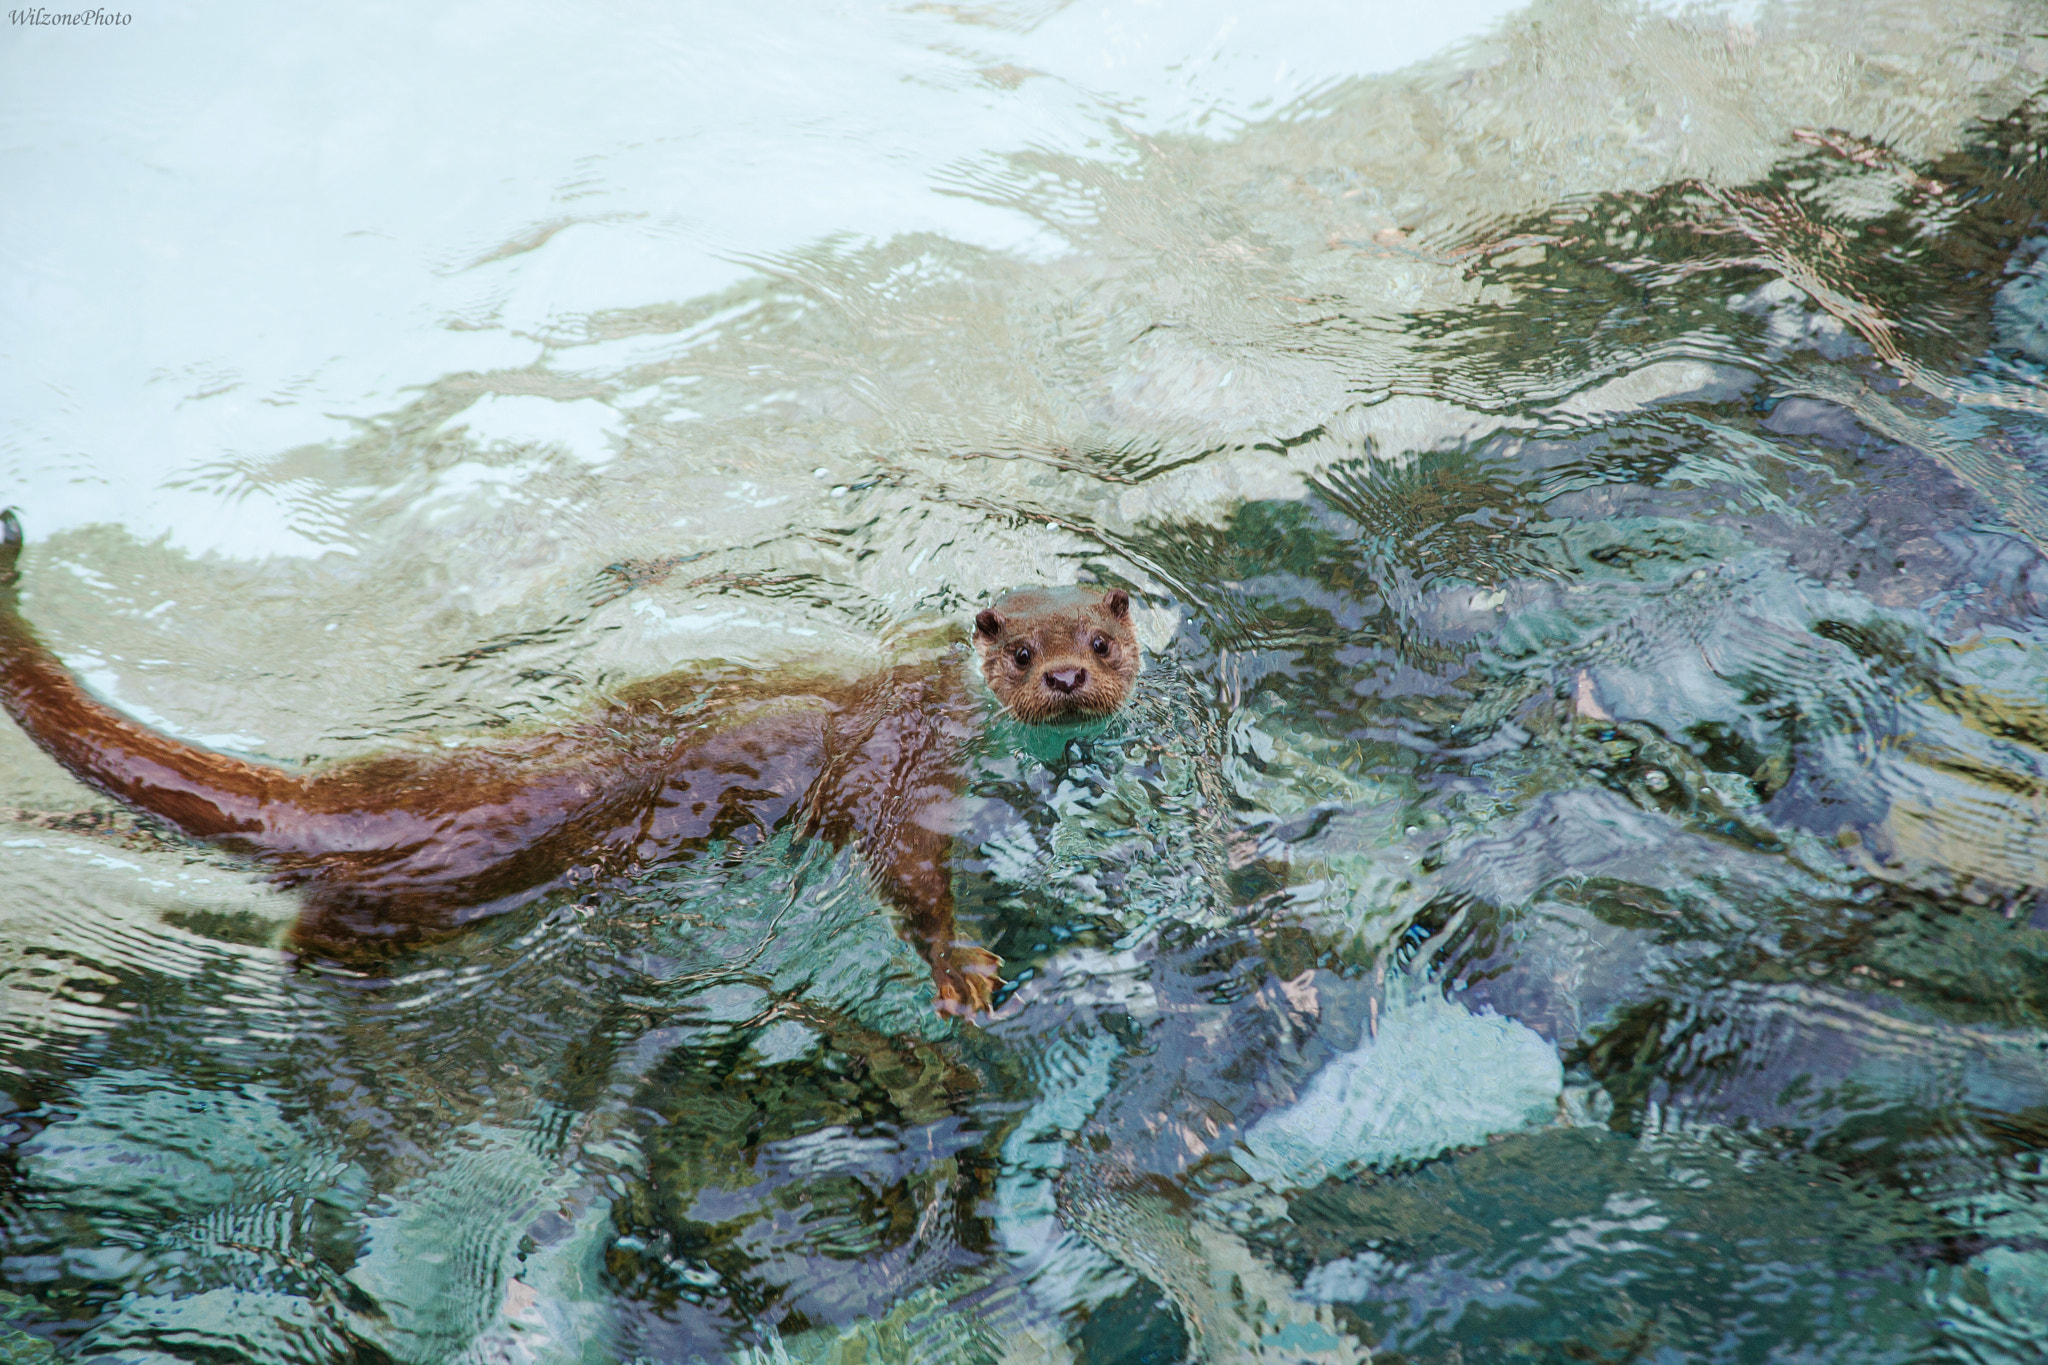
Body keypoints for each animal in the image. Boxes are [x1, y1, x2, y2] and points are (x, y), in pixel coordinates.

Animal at [0, 511, 1146, 1015]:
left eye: (1099, 639)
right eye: (1019, 650)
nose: (1064, 680)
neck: (922, 690)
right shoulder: (899, 769)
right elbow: (906, 874)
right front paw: (958, 970)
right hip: (419, 902)